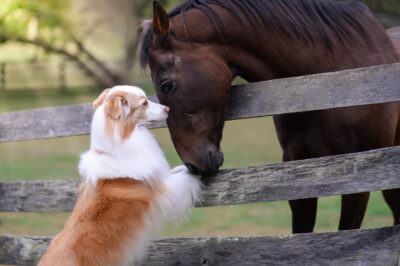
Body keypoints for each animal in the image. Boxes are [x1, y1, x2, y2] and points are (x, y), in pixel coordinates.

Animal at [38, 85, 202, 266]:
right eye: (144, 103)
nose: (167, 109)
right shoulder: (164, 190)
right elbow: (184, 177)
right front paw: (197, 171)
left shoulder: (160, 176)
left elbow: (175, 170)